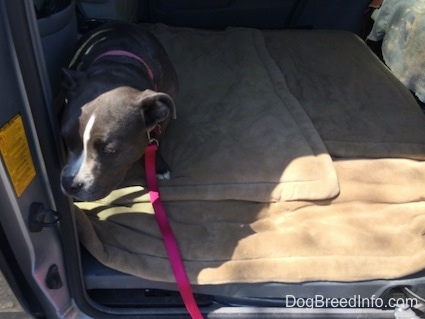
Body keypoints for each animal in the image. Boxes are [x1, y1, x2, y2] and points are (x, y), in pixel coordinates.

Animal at [59, 22, 176, 201]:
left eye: (110, 151)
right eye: (65, 139)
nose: (69, 184)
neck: (117, 67)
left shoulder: (164, 118)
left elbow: (158, 139)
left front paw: (159, 166)